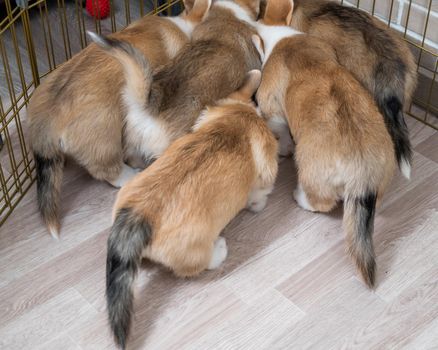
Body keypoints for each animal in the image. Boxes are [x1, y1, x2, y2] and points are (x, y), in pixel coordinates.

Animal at [106, 69, 278, 348]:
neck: (236, 120)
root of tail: (141, 214)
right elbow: (259, 197)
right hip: (197, 250)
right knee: (200, 265)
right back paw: (220, 249)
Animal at [256, 0, 396, 288]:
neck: (281, 39)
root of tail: (362, 172)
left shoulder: (273, 111)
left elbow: (280, 131)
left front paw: (283, 148)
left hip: (310, 172)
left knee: (320, 202)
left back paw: (299, 197)